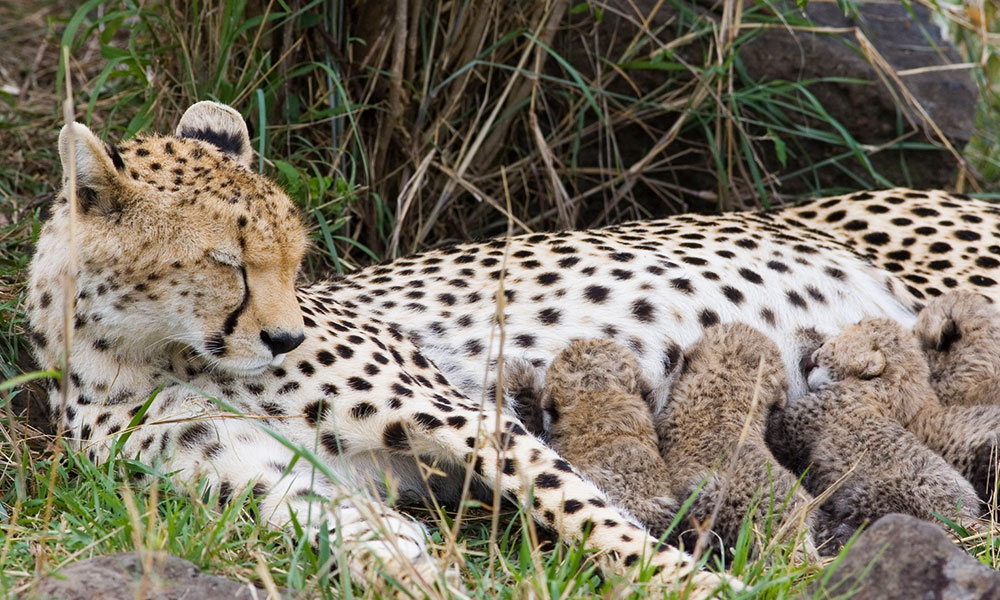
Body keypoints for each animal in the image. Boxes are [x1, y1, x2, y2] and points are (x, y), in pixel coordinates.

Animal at [767, 318, 982, 550]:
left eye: (855, 325)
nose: (817, 348)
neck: (881, 391)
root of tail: (964, 518)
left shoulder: (794, 426)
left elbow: (774, 429)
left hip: (870, 496)